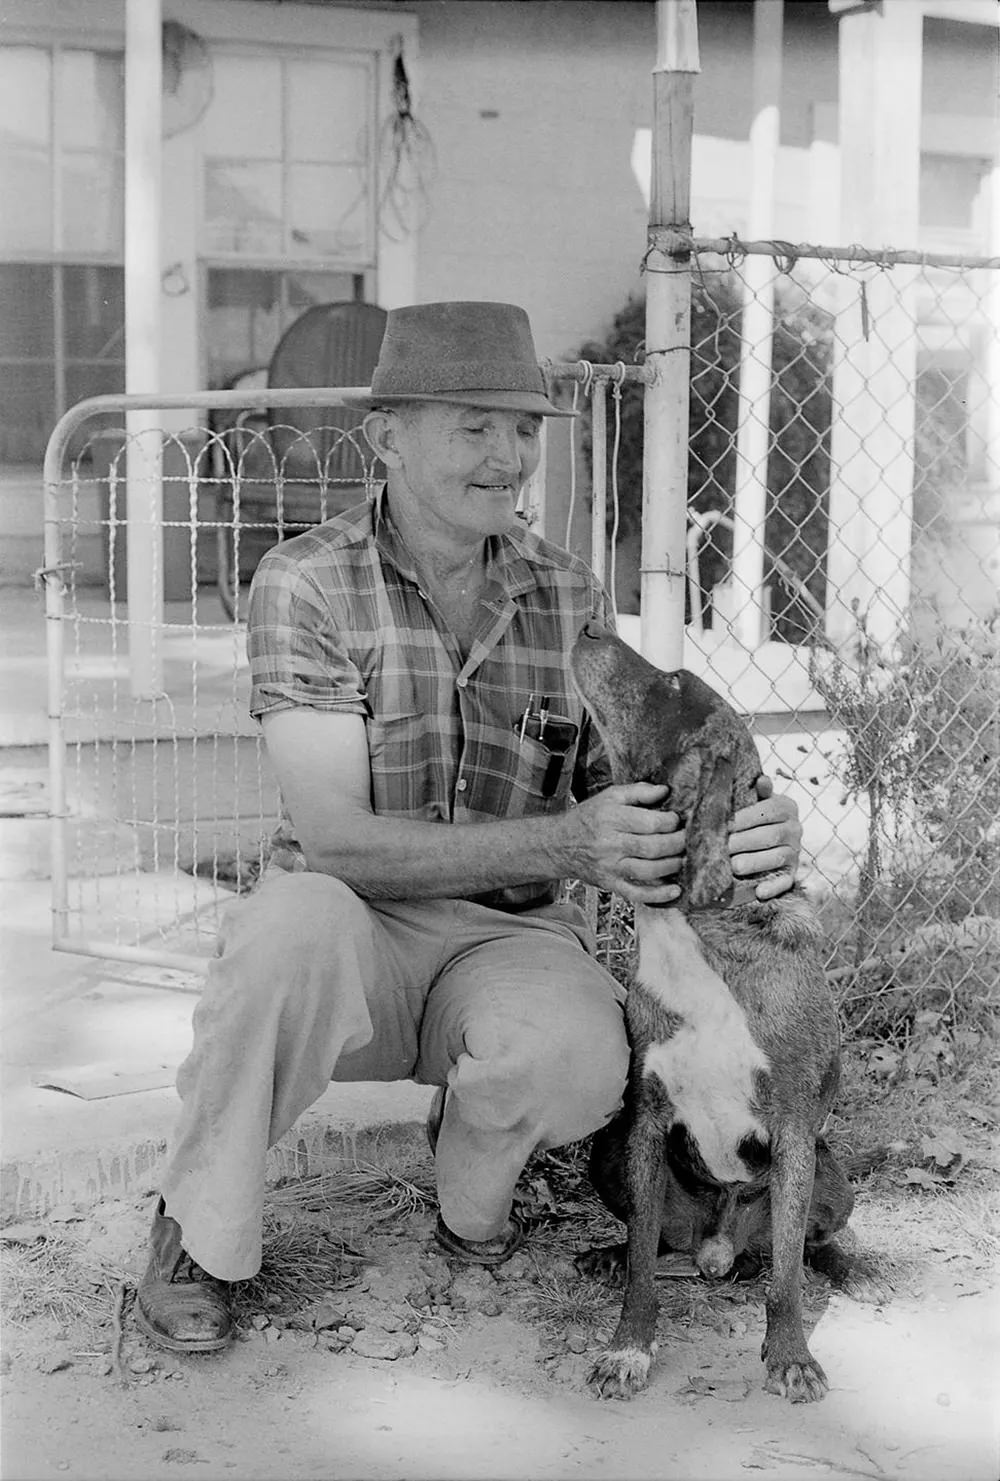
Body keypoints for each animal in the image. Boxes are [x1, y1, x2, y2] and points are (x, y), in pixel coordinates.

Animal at [571, 619, 882, 1403]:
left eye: (675, 679)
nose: (589, 623)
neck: (700, 937)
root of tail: (716, 1253)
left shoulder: (795, 1132)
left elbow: (788, 1279)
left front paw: (790, 1355)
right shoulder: (646, 1121)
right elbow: (644, 1270)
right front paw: (629, 1348)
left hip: (834, 1178)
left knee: (806, 1247)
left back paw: (853, 1268)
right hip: (607, 1149)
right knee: (653, 1242)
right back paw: (607, 1254)